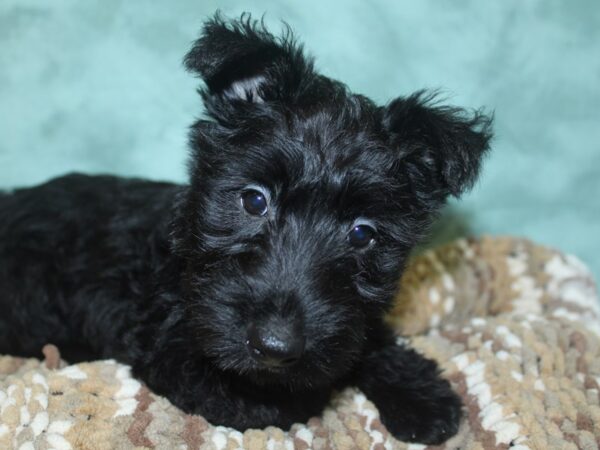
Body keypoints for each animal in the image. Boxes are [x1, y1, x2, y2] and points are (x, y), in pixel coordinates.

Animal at [0, 14, 490, 446]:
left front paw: (421, 396)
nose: (275, 346)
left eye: (362, 234)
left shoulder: (348, 322)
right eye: (254, 201)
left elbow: (367, 340)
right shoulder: (169, 348)